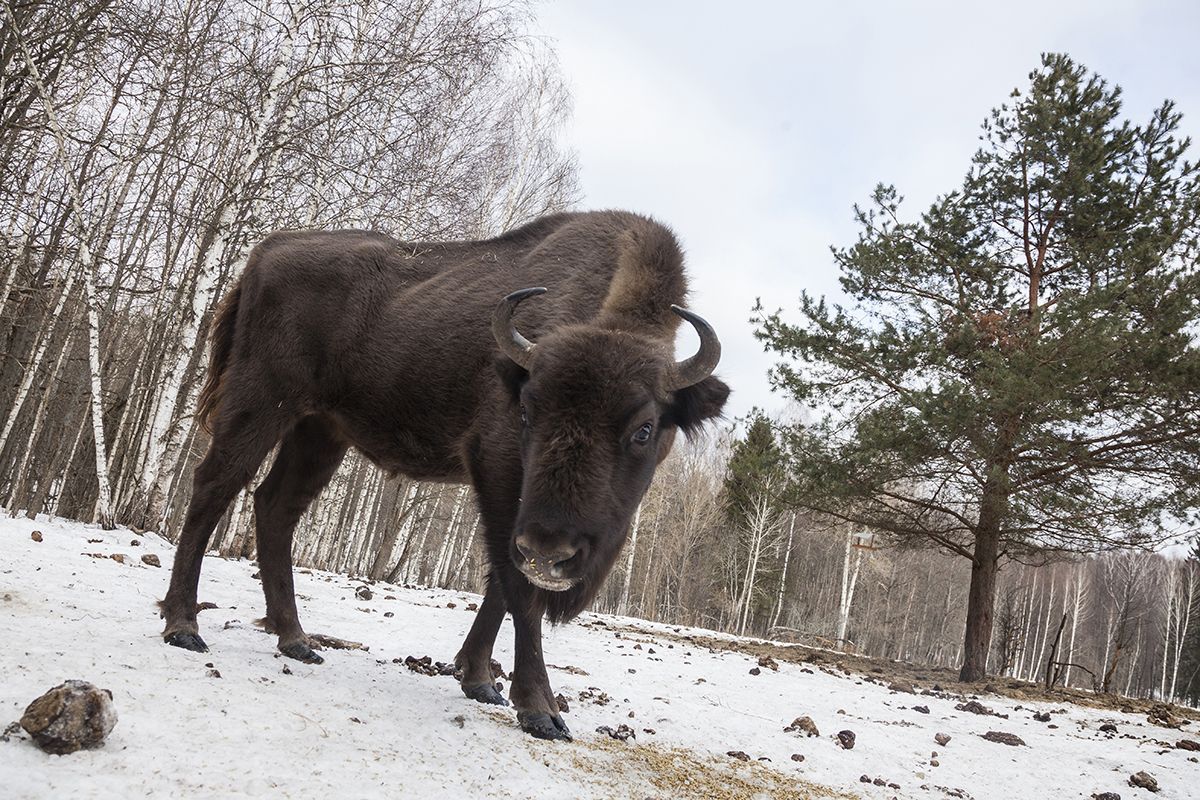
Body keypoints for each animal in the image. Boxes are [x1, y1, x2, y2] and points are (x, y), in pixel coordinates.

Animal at [157, 211, 720, 738]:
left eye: (644, 428)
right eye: (527, 410)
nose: (553, 554)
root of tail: (265, 252)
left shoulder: (516, 508)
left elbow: (499, 583)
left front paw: (481, 682)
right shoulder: (497, 470)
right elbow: (517, 587)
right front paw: (540, 710)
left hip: (319, 431)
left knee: (275, 507)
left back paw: (296, 640)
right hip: (260, 401)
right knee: (214, 486)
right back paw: (184, 626)